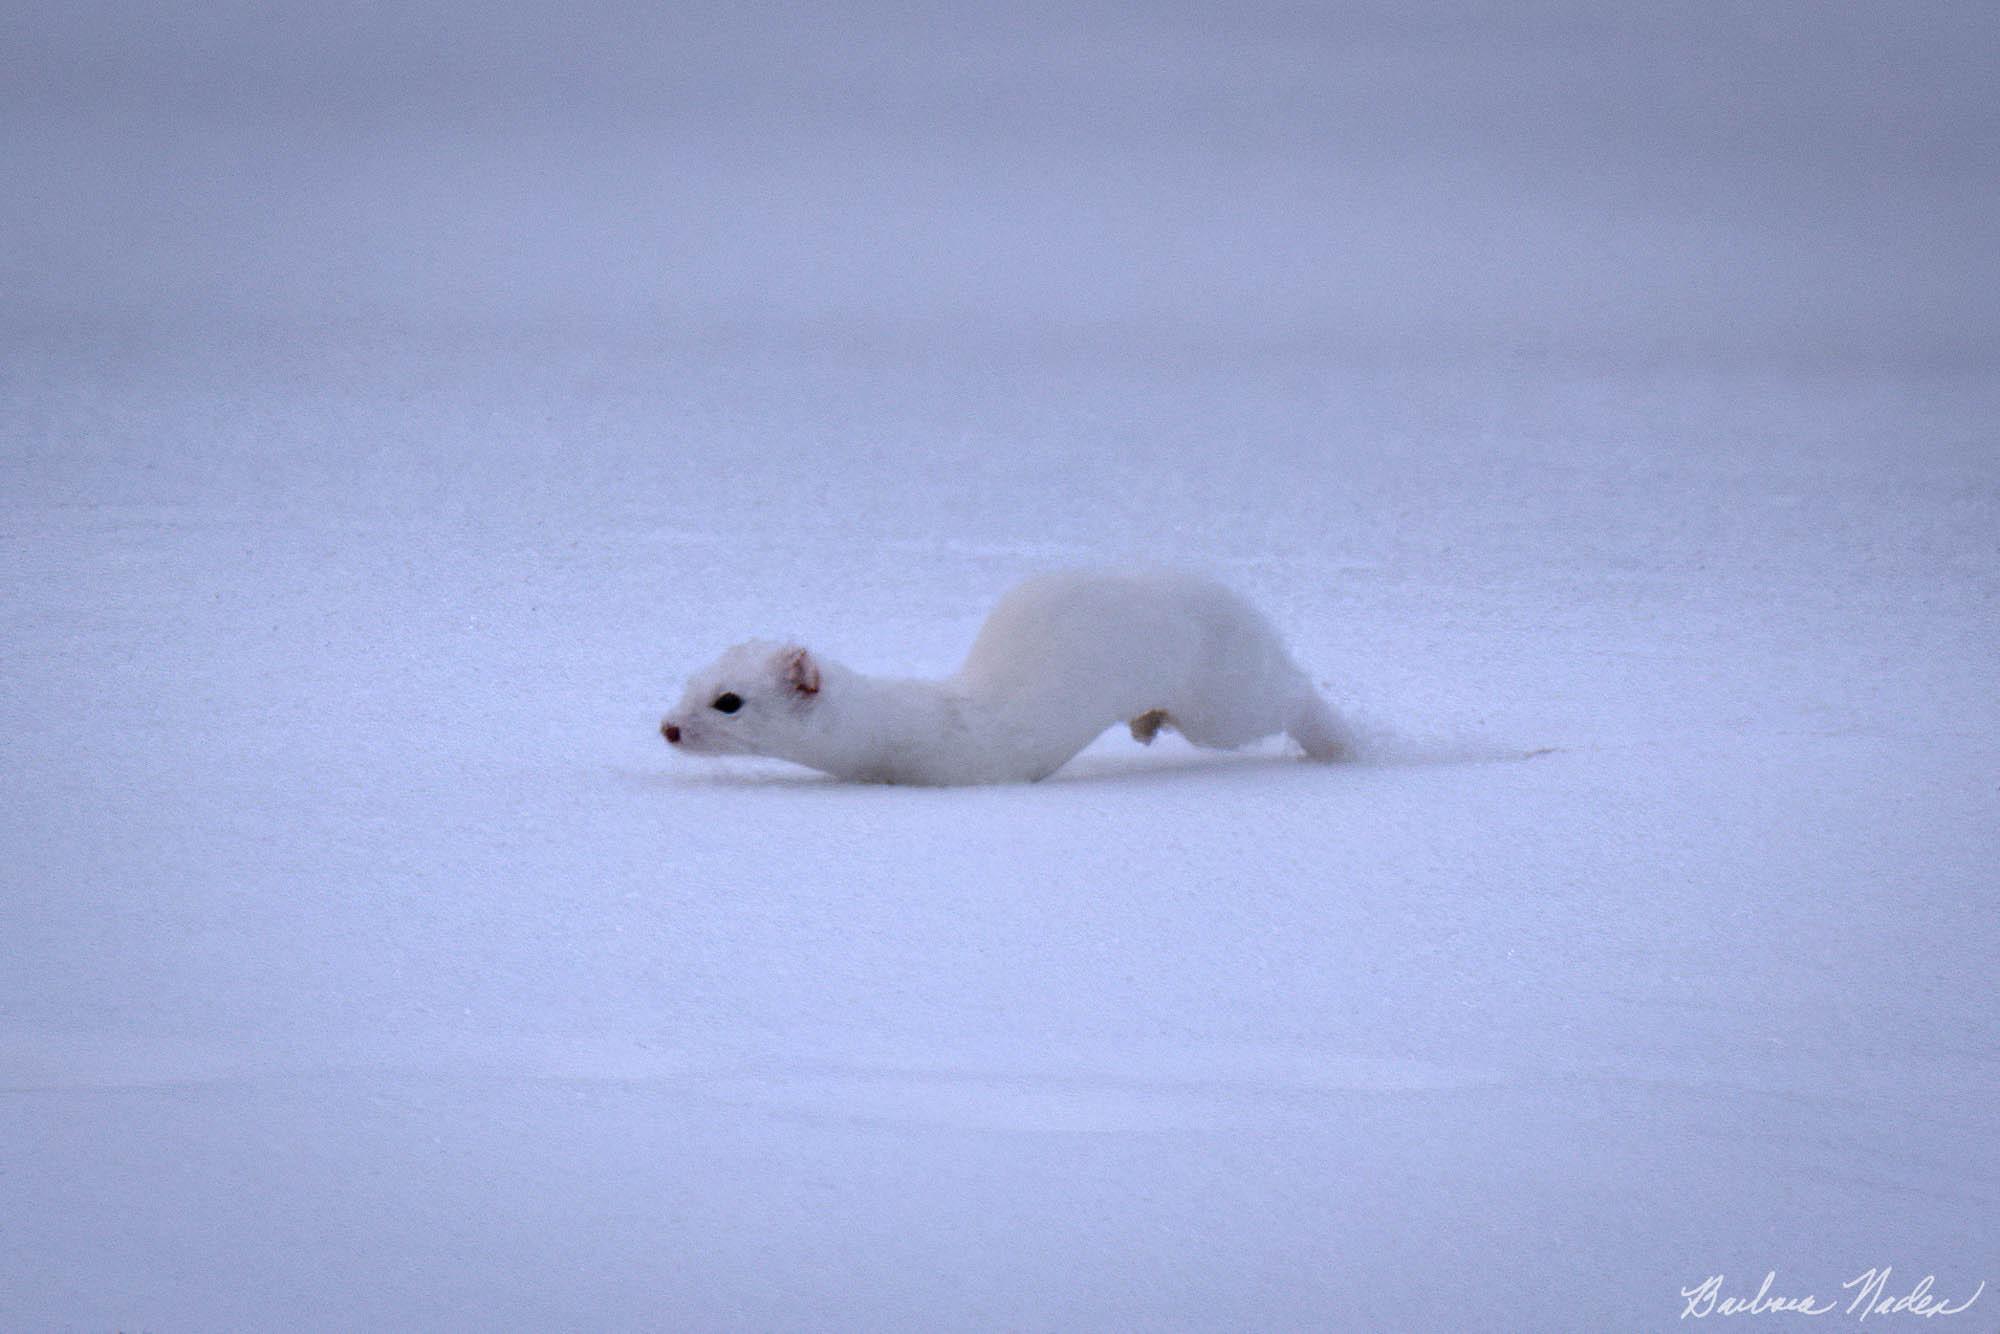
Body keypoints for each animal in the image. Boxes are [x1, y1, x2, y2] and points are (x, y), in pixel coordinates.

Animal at [664, 572, 1352, 784]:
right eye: (689, 679)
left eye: (729, 701)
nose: (667, 727)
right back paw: (1145, 724)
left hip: (1222, 700)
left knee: (1290, 699)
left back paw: (1344, 743)